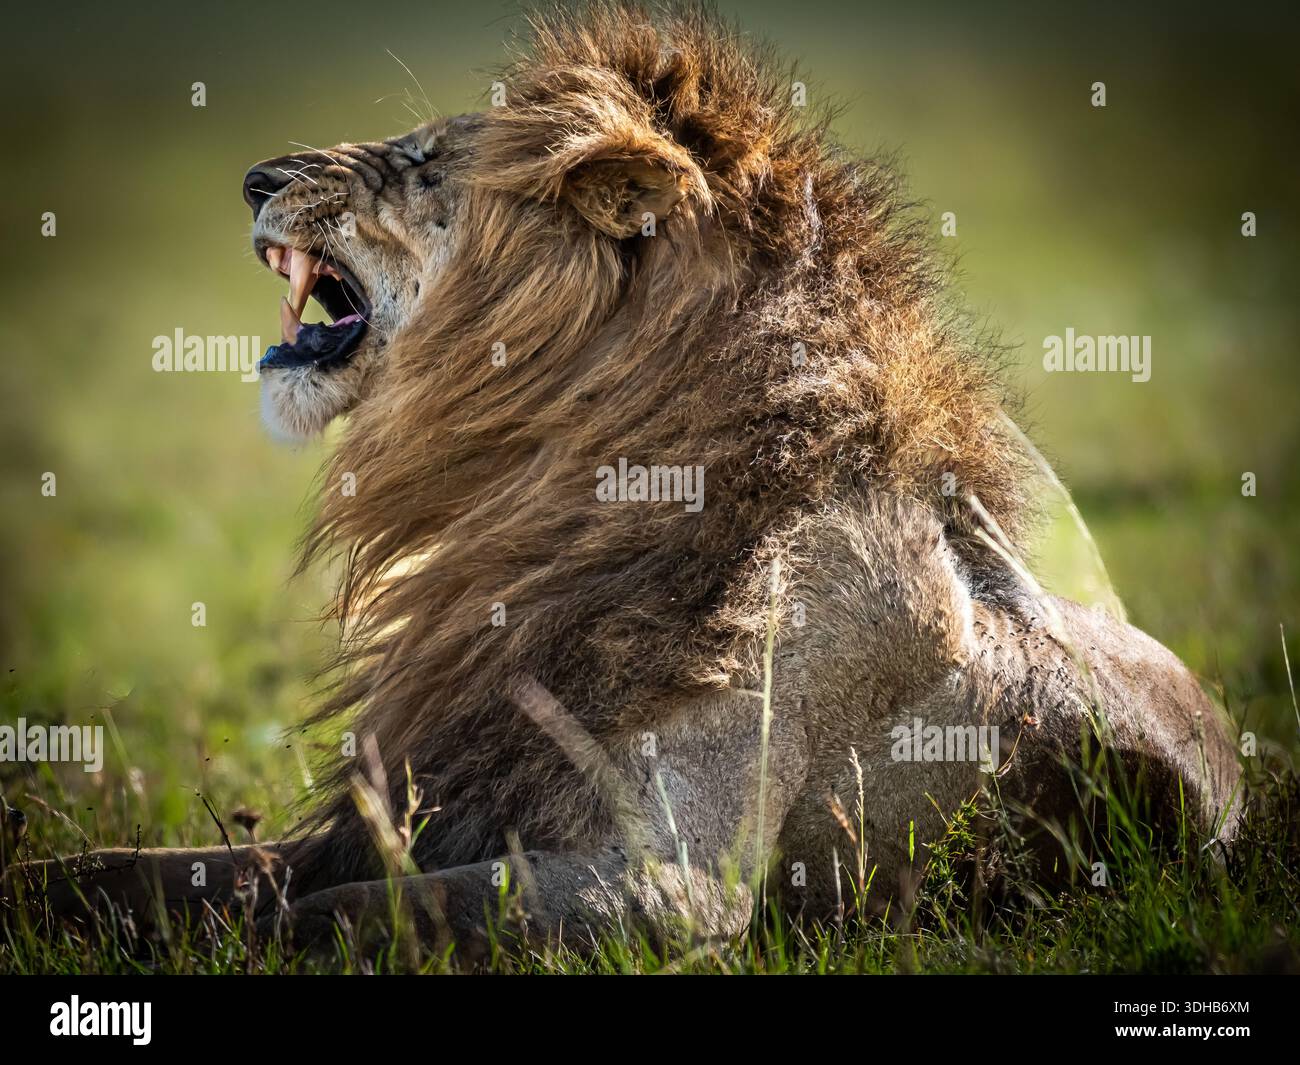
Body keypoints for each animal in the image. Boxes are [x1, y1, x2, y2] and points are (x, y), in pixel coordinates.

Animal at [9, 1, 1239, 959]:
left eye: (422, 162)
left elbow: (348, 914)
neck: (559, 482)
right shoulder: (431, 795)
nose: (253, 176)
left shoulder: (674, 886)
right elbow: (167, 869)